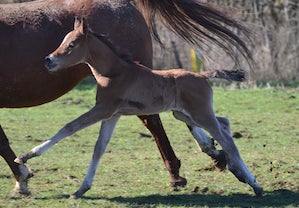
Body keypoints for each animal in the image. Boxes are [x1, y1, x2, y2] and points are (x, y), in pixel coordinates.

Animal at [0, 0, 253, 196]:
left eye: (72, 44)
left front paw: (25, 161)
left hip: (192, 111)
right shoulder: (112, 114)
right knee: (221, 123)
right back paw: (228, 164)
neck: (116, 71)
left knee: (215, 133)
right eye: (62, 40)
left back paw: (241, 178)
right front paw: (80, 187)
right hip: (183, 112)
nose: (48, 60)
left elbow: (69, 127)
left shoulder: (103, 108)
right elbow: (99, 147)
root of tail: (202, 74)